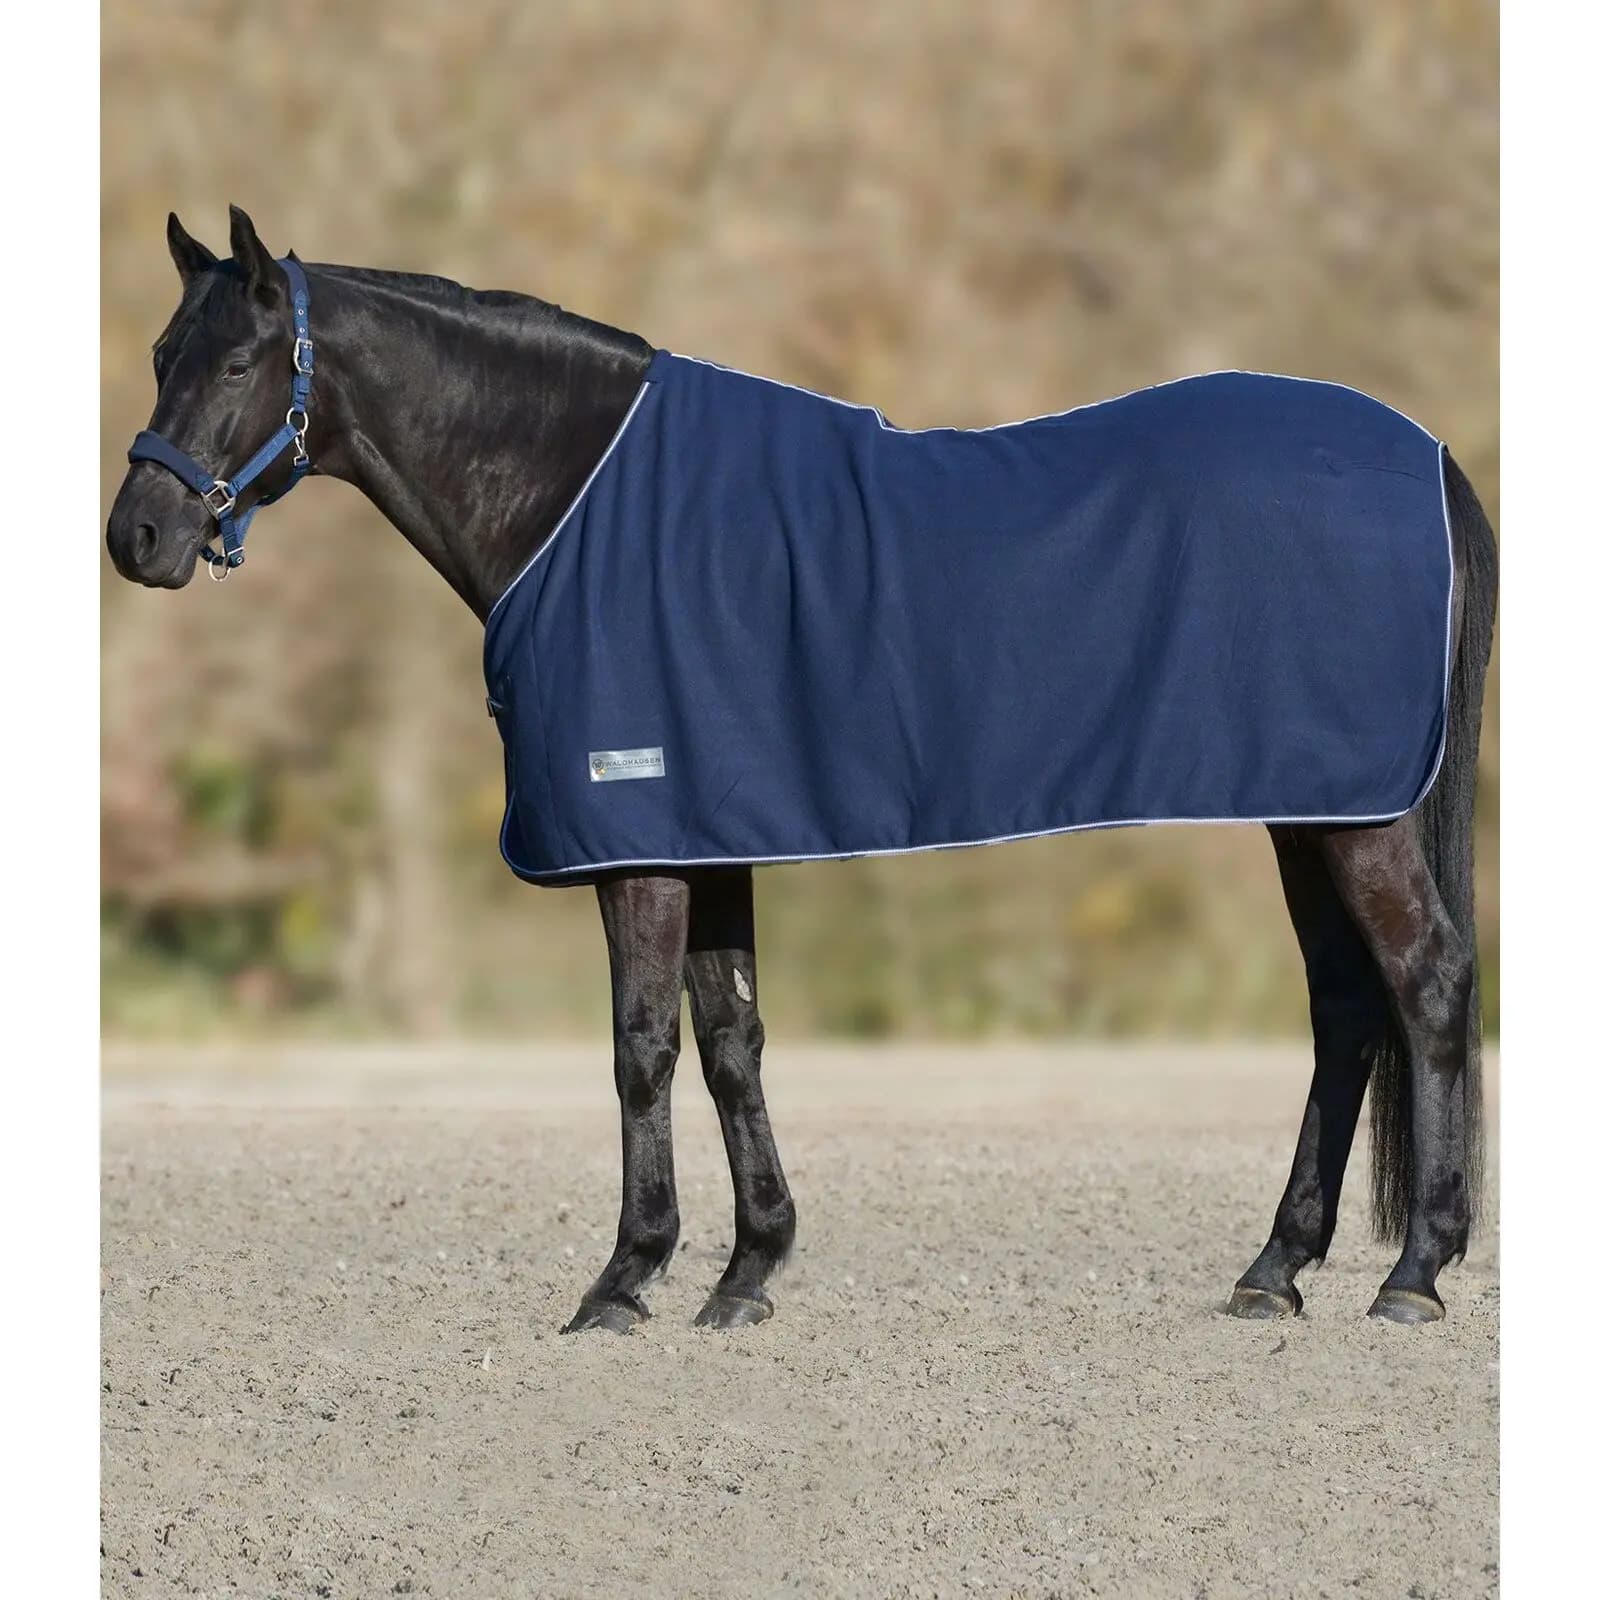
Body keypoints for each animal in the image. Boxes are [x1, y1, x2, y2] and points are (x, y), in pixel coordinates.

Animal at [106, 208, 1497, 1332]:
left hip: (1355, 816)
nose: (140, 536)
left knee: (1425, 983)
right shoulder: (705, 834)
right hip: (1312, 806)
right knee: (1344, 1005)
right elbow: (733, 1041)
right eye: (163, 354)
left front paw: (625, 1279)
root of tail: (1422, 454)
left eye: (238, 362)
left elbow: (642, 1047)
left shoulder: (641, 845)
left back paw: (1412, 1274)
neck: (577, 501)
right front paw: (746, 1272)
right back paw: (1277, 1268)